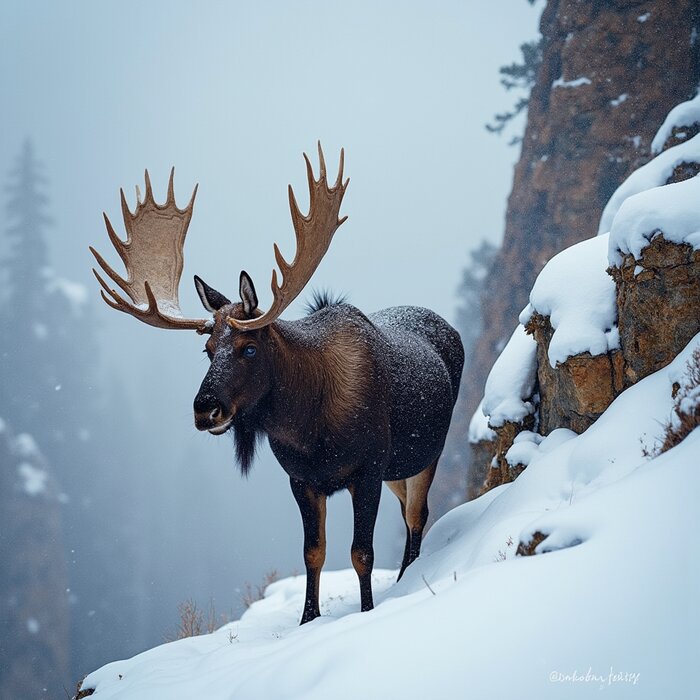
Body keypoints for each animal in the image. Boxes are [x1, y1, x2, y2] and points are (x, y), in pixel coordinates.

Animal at [93, 145, 464, 628]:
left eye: (249, 347)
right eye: (207, 349)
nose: (204, 408)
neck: (312, 431)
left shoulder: (367, 468)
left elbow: (361, 553)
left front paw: (366, 610)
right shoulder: (301, 479)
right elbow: (313, 553)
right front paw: (308, 619)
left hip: (426, 454)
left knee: (418, 518)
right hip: (398, 468)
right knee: (408, 516)